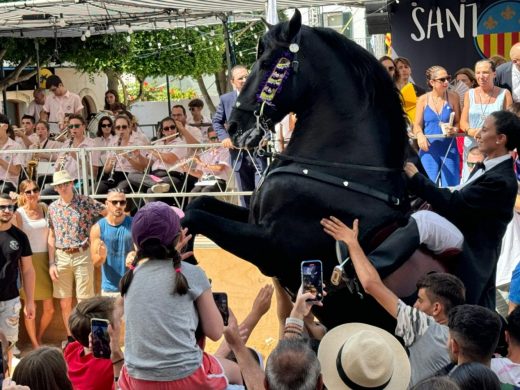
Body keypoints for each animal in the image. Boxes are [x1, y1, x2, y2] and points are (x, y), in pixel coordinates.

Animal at [183, 10, 414, 330]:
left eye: (267, 63)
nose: (233, 126)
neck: (343, 172)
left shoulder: (268, 246)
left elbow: (194, 215)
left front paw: (188, 263)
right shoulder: (253, 220)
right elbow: (199, 204)